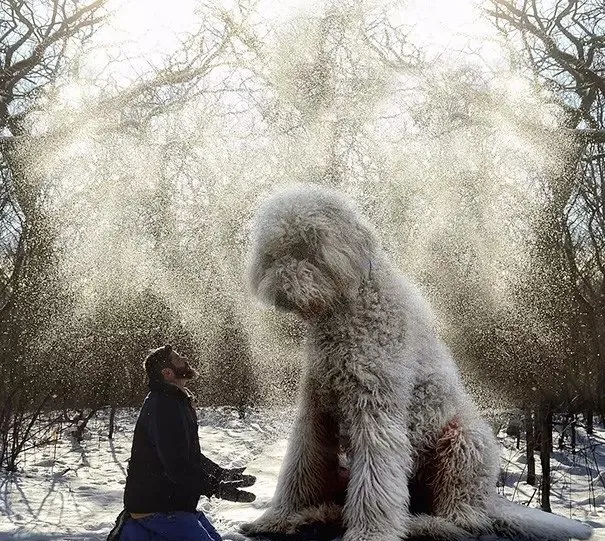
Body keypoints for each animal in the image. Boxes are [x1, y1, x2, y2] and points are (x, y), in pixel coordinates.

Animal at [239, 185, 588, 540]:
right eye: (273, 254)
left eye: (306, 248)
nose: (278, 288)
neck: (347, 312)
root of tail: (490, 500)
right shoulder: (317, 410)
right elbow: (299, 468)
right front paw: (278, 518)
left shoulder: (375, 410)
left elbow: (375, 481)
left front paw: (371, 533)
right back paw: (319, 514)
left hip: (463, 443)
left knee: (462, 519)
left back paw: (420, 523)